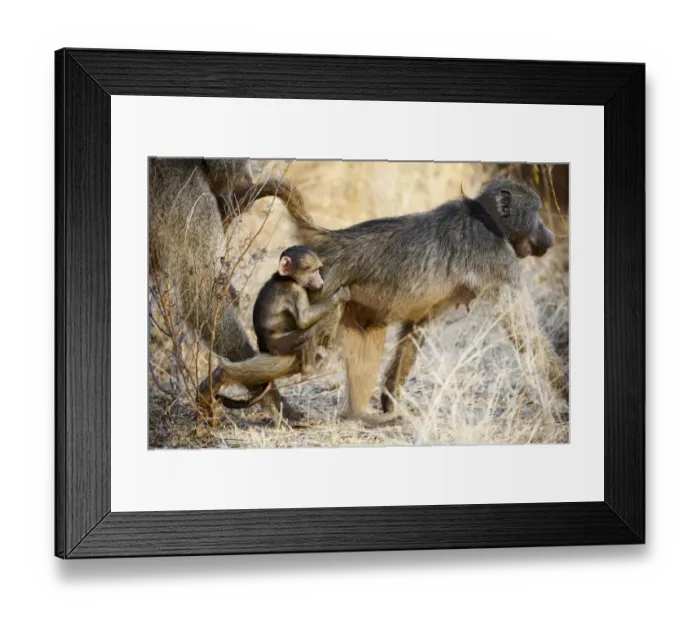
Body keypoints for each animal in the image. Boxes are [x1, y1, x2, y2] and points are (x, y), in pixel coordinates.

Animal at [197, 246, 351, 412]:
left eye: (318, 270)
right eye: (312, 270)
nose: (321, 282)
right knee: (309, 332)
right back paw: (309, 370)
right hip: (281, 344)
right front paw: (341, 294)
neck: (286, 278)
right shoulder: (295, 291)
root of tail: (264, 346)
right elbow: (304, 320)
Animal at [276, 176, 566, 425]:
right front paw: (565, 391)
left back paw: (359, 415)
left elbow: (412, 334)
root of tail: (331, 238)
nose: (551, 237)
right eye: (537, 212)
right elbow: (523, 330)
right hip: (320, 292)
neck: (486, 218)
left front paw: (390, 400)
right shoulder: (500, 260)